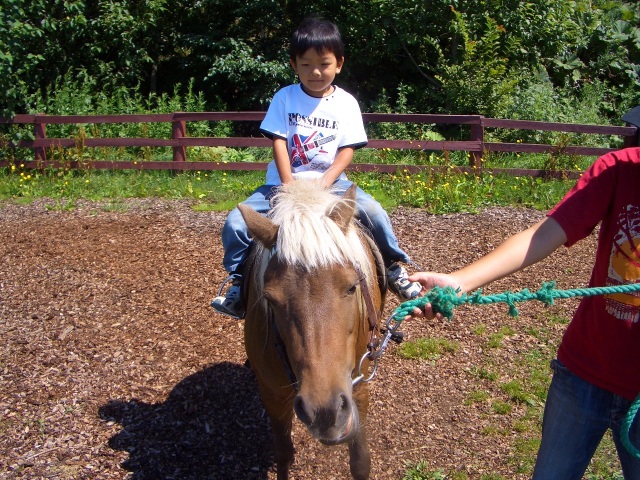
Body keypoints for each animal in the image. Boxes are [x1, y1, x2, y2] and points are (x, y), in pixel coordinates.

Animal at [238, 179, 386, 480]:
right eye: (270, 299)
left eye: (352, 287)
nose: (324, 412)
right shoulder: (272, 394)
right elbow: (283, 454)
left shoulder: (358, 389)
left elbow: (360, 462)